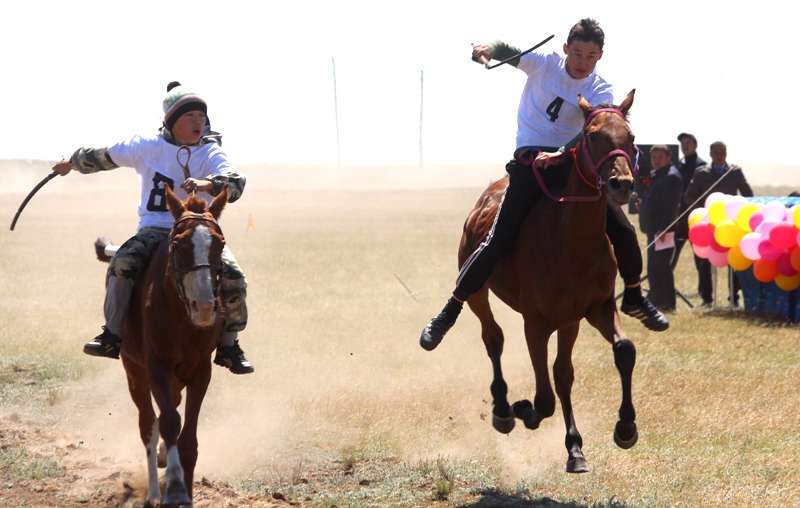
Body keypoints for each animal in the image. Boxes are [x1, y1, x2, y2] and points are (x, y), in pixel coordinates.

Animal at [97, 185, 228, 506]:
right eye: (178, 245)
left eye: (220, 243)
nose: (204, 307)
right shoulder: (156, 365)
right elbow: (168, 422)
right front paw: (176, 489)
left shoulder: (200, 370)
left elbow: (188, 438)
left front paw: (186, 493)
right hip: (135, 372)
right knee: (148, 424)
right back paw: (154, 493)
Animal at [462, 90, 636, 472]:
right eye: (592, 136)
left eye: (631, 137)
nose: (622, 184)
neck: (571, 242)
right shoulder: (536, 322)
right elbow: (542, 399)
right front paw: (522, 409)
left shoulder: (590, 311)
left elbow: (615, 354)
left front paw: (621, 429)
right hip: (478, 290)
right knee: (492, 336)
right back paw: (502, 407)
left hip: (568, 321)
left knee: (558, 372)